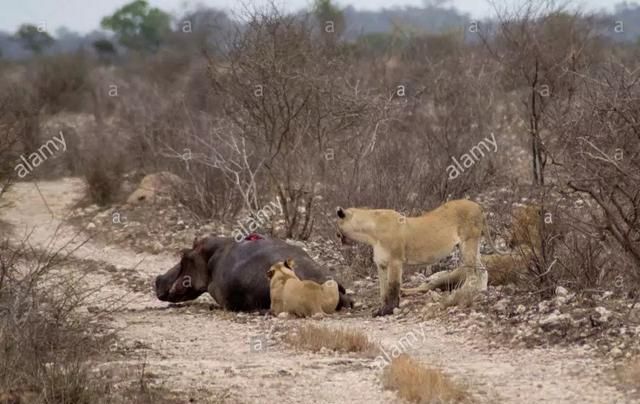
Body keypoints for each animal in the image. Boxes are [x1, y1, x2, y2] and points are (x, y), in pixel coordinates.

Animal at [336, 199, 504, 316]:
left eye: (338, 224)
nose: (336, 234)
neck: (370, 233)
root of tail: (478, 206)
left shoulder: (395, 261)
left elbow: (393, 287)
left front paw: (388, 310)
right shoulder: (381, 264)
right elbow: (383, 289)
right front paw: (380, 310)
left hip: (467, 244)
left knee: (472, 274)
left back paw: (463, 294)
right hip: (471, 247)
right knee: (482, 270)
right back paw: (481, 291)